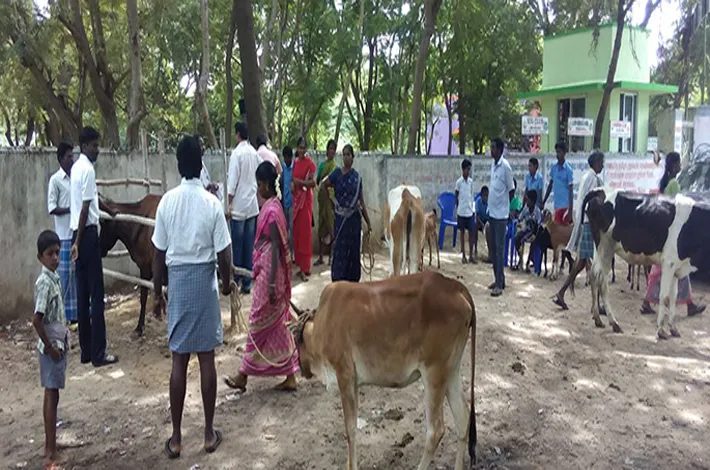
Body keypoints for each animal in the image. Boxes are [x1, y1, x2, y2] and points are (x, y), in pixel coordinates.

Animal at [289, 271, 477, 470]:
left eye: (297, 341)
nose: (301, 368)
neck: (322, 324)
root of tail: (454, 286)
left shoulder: (344, 375)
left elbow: (350, 429)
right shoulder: (353, 382)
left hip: (434, 373)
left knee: (435, 431)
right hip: (451, 371)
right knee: (463, 420)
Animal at [584, 189, 710, 339]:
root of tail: (601, 190)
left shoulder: (677, 266)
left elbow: (673, 297)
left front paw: (673, 328)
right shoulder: (669, 263)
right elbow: (664, 296)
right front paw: (661, 330)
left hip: (599, 247)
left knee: (593, 274)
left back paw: (598, 318)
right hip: (605, 246)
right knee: (602, 281)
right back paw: (614, 323)